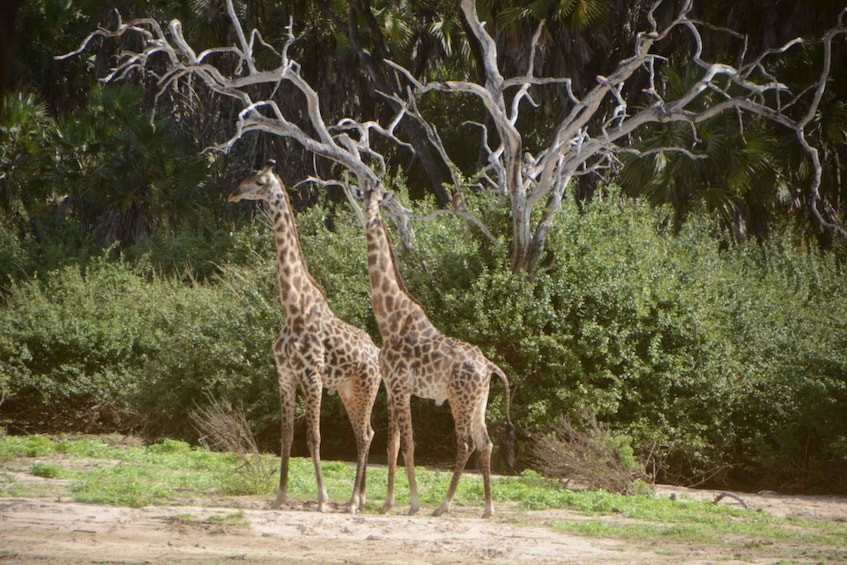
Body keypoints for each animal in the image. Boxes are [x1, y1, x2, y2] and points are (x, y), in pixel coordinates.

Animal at [229, 161, 380, 512]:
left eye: (259, 181)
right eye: (245, 178)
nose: (234, 193)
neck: (292, 308)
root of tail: (379, 356)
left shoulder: (312, 374)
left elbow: (314, 436)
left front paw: (322, 499)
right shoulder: (284, 373)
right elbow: (286, 435)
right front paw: (279, 496)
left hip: (366, 386)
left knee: (366, 434)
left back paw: (352, 502)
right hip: (348, 390)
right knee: (365, 432)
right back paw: (358, 498)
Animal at [362, 183, 512, 516]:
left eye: (377, 198)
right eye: (362, 195)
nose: (367, 215)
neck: (390, 321)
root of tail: (488, 366)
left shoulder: (401, 387)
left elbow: (408, 444)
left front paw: (413, 503)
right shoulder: (391, 388)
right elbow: (392, 444)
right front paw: (388, 503)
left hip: (460, 398)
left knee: (467, 443)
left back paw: (442, 505)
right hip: (479, 400)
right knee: (486, 443)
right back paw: (488, 508)